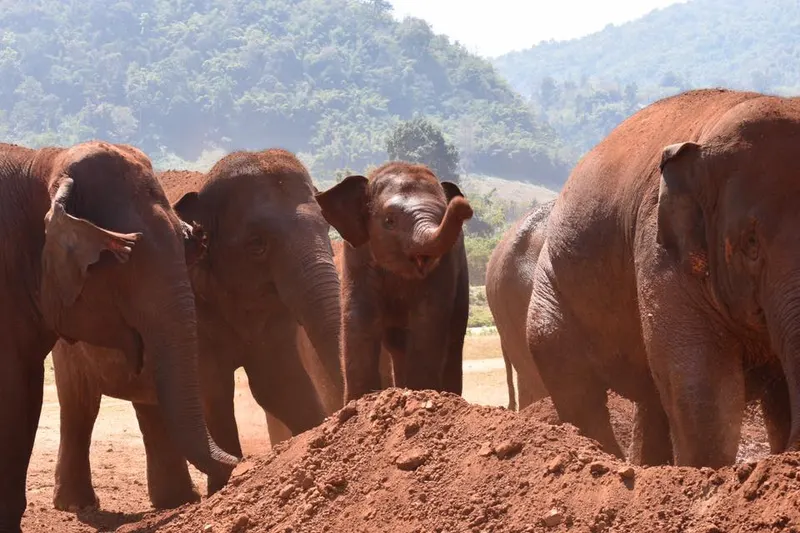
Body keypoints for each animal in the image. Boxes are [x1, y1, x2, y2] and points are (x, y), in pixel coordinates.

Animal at [51, 148, 343, 511]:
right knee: (79, 406)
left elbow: (278, 383)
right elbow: (213, 390)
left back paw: (175, 500)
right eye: (257, 244)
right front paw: (223, 487)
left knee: (152, 407)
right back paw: (76, 505)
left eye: (327, 226)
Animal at [315, 162, 473, 402]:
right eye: (389, 221)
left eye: (442, 214)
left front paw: (421, 393)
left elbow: (428, 317)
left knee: (453, 340)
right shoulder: (357, 259)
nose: (465, 206)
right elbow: (360, 316)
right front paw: (359, 402)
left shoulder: (445, 265)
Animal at [526, 88, 800, 468]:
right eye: (751, 243)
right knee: (575, 385)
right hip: (551, 289)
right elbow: (703, 383)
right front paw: (706, 473)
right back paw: (610, 460)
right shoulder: (659, 247)